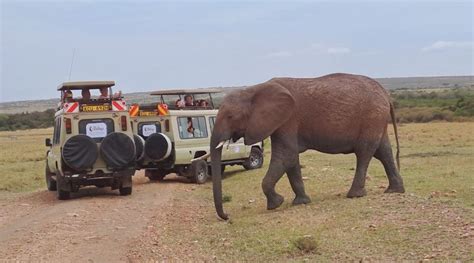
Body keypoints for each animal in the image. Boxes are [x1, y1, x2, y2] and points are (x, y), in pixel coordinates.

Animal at [209, 73, 406, 222]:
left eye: (231, 116)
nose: (227, 216)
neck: (254, 89)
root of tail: (386, 94)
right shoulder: (283, 123)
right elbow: (291, 160)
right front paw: (301, 202)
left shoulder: (288, 120)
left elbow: (285, 156)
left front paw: (276, 204)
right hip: (377, 119)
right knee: (384, 152)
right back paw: (394, 191)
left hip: (371, 118)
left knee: (365, 153)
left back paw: (355, 195)